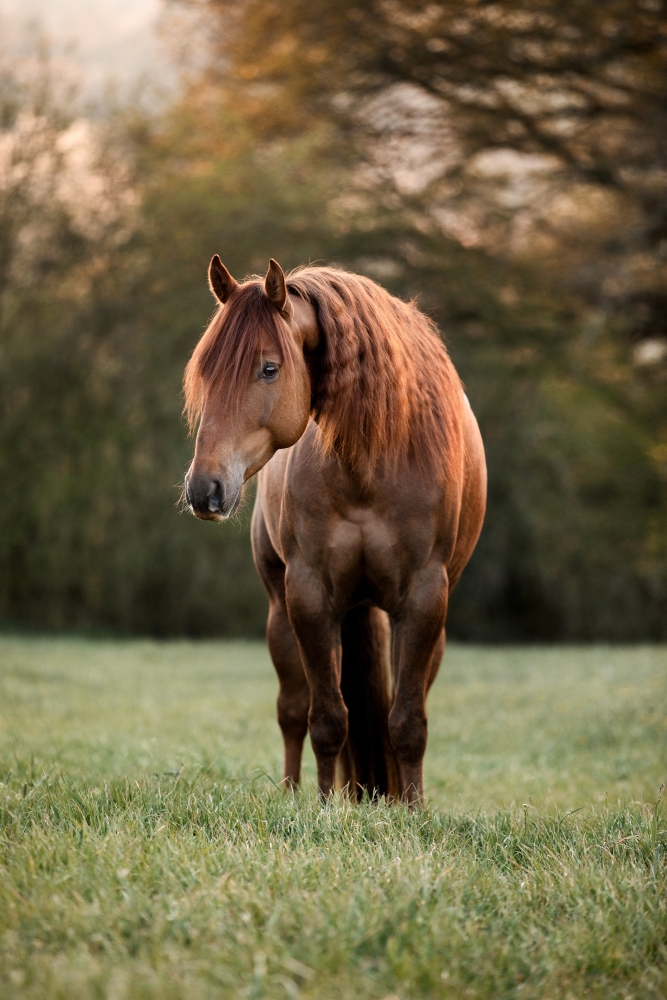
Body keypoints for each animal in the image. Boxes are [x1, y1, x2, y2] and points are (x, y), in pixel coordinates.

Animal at [183, 258, 486, 804]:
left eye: (268, 368)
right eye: (205, 370)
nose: (204, 489)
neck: (375, 461)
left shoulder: (423, 600)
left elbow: (407, 724)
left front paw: (413, 811)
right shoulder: (309, 595)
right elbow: (326, 719)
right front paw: (323, 809)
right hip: (282, 614)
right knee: (291, 711)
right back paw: (290, 794)